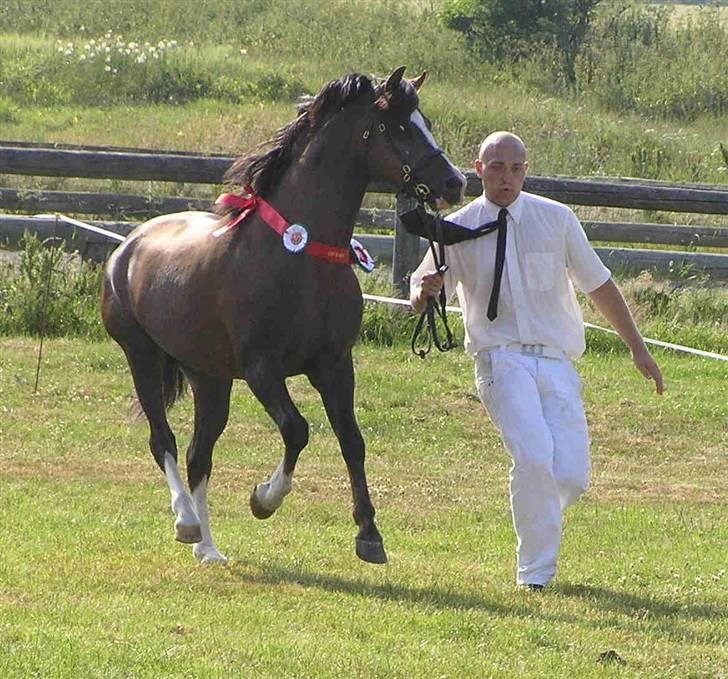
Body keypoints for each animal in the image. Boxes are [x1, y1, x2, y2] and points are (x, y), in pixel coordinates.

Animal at [101, 66, 466, 564]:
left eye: (423, 121)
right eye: (399, 127)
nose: (455, 183)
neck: (299, 258)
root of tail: (129, 245)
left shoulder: (335, 366)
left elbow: (352, 441)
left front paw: (369, 535)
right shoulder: (263, 370)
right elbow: (297, 430)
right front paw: (263, 499)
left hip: (208, 377)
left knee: (199, 455)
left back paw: (209, 549)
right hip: (143, 358)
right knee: (165, 442)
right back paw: (187, 523)